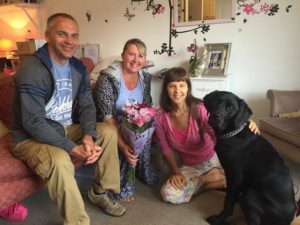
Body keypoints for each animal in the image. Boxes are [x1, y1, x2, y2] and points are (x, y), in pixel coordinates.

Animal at [203, 90, 294, 225]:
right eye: (215, 101)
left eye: (231, 108)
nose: (216, 116)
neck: (233, 134)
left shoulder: (235, 176)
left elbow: (228, 203)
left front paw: (217, 219)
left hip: (250, 195)